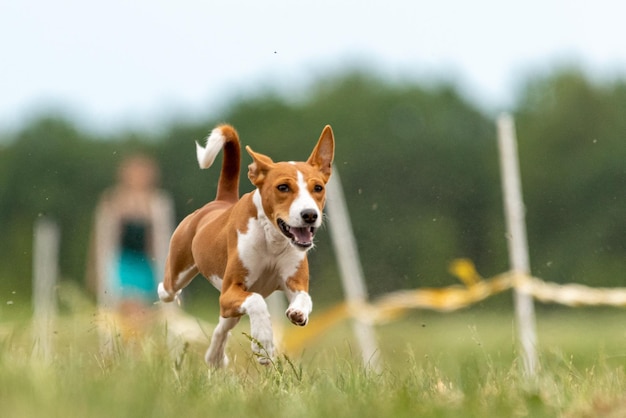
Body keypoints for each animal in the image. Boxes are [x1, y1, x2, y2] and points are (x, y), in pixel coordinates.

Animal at [157, 123, 332, 366]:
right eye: (283, 187)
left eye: (318, 188)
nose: (309, 215)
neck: (272, 240)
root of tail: (222, 201)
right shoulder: (230, 290)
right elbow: (257, 301)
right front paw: (264, 344)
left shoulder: (293, 281)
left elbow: (305, 297)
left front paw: (298, 312)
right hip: (179, 275)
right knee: (167, 290)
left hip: (229, 308)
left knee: (223, 326)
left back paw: (215, 357)